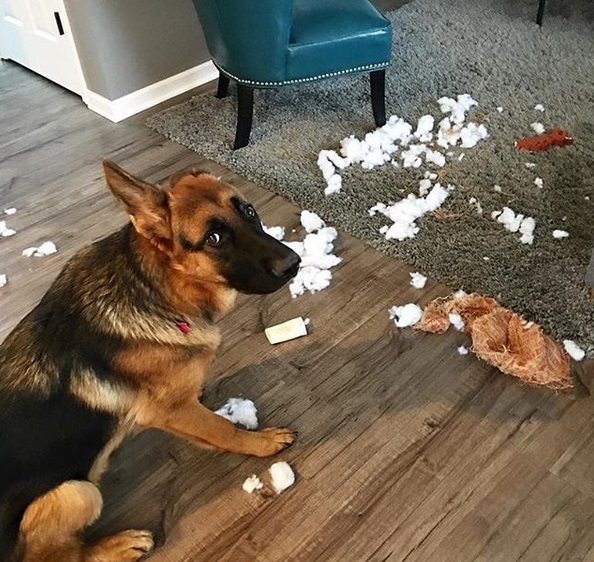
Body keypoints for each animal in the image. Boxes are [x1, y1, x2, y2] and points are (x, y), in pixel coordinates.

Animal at [0, 160, 298, 556]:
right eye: (214, 239)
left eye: (248, 211)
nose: (293, 263)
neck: (159, 286)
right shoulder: (168, 412)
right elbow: (223, 430)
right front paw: (261, 443)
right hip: (78, 492)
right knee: (56, 554)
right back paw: (118, 546)